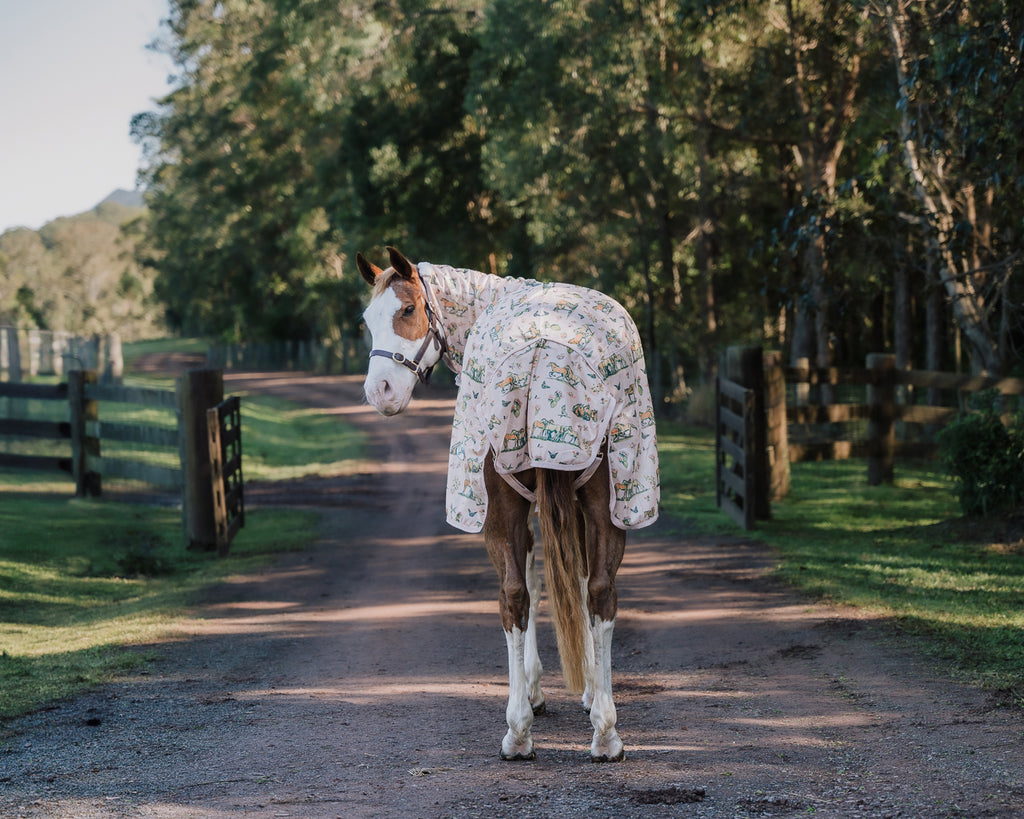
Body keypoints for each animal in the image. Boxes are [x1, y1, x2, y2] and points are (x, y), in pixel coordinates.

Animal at [358, 246, 659, 762]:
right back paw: (592, 732)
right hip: (599, 497)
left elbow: (548, 580)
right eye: (366, 320)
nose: (380, 392)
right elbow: (562, 579)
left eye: (408, 310)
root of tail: (543, 347)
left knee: (525, 594)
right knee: (586, 592)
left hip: (515, 502)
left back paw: (530, 731)